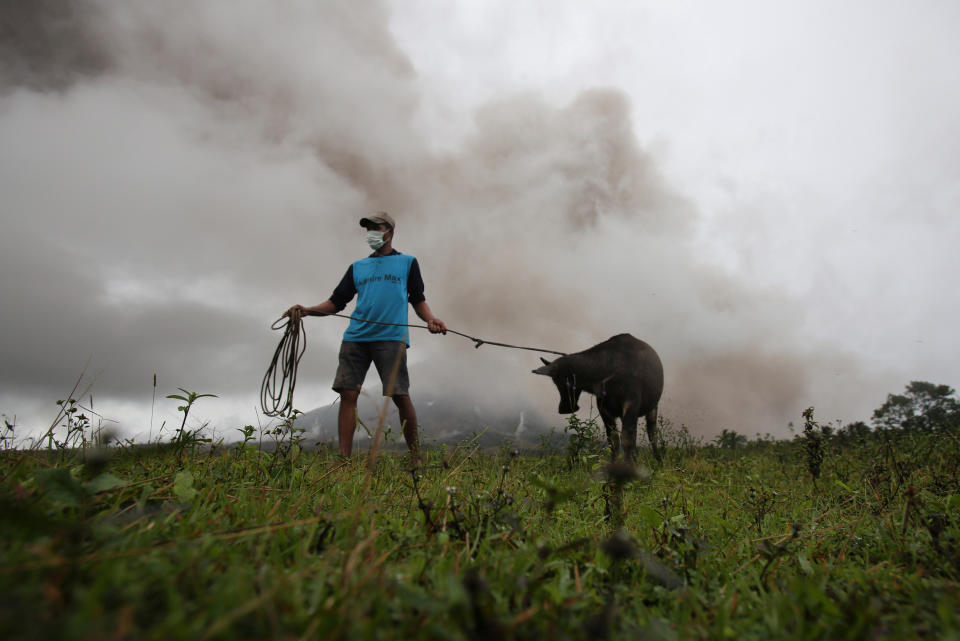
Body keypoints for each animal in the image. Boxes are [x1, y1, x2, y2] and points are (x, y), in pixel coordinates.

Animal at [528, 336, 664, 460]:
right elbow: (613, 442)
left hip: (653, 408)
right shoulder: (603, 407)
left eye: (559, 381)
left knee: (652, 435)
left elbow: (627, 441)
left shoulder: (632, 402)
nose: (564, 409)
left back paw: (658, 461)